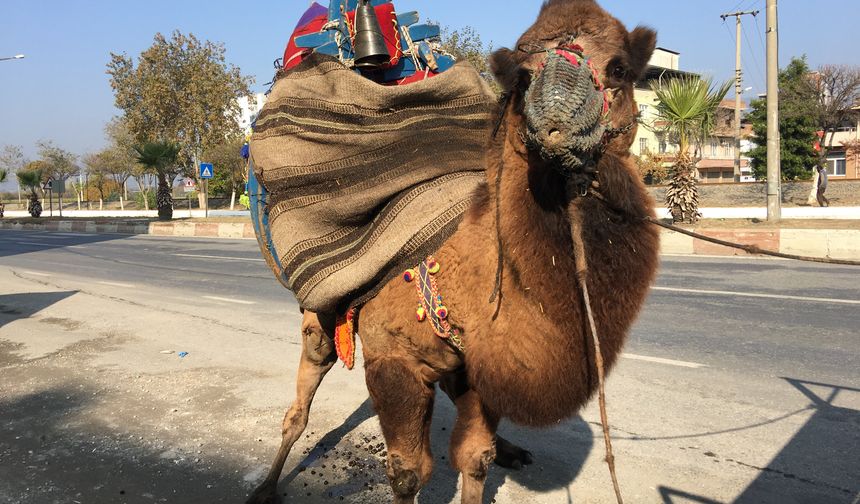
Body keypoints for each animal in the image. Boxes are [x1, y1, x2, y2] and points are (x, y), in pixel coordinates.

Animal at [245, 1, 660, 502]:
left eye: (619, 69)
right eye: (522, 75)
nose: (556, 119)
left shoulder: (483, 364)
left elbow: (475, 458)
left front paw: (495, 454)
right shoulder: (393, 361)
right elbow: (407, 473)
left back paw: (511, 449)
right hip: (321, 310)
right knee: (306, 384)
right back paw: (266, 486)